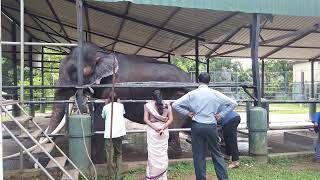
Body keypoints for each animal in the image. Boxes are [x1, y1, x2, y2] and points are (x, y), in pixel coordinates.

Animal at [47, 42, 192, 163]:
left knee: (172, 125)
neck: (102, 53)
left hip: (177, 98)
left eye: (74, 73)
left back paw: (170, 155)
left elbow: (100, 117)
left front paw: (97, 160)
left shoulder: (113, 86)